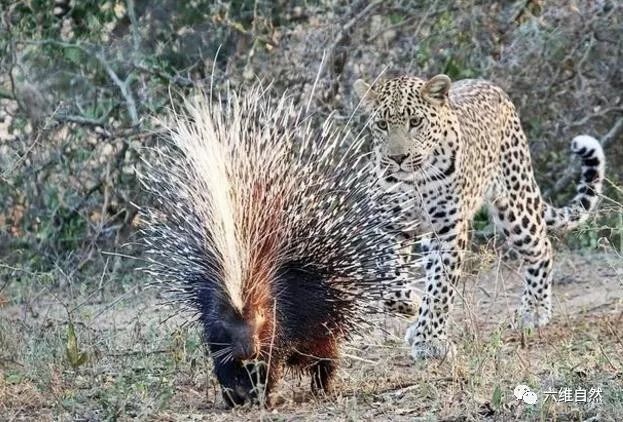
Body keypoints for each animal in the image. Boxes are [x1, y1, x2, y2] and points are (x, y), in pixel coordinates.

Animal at [356, 72, 604, 360]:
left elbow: (441, 288)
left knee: (543, 247)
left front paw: (430, 341)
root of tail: (490, 84)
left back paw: (533, 311)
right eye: (382, 124)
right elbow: (390, 279)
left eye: (415, 122)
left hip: (516, 204)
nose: (397, 158)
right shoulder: (389, 226)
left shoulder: (450, 230)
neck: (415, 180)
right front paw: (412, 307)